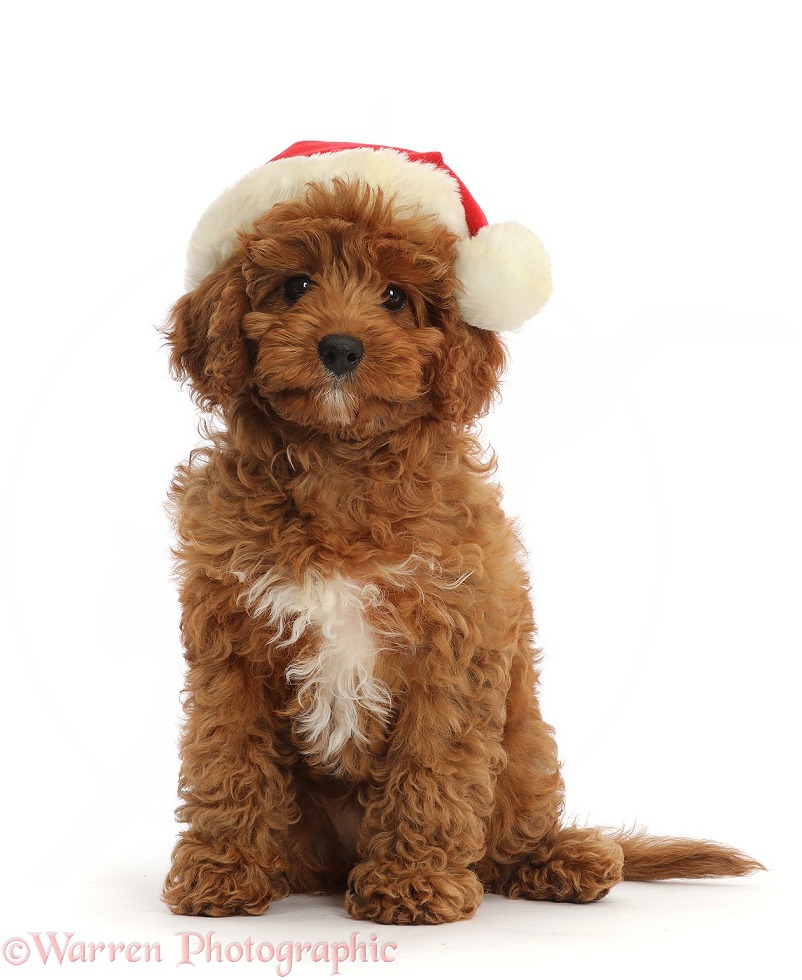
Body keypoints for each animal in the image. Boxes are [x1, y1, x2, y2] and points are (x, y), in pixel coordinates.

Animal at [162, 142, 764, 924]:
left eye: (395, 297)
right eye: (296, 285)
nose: (340, 348)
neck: (340, 463)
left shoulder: (452, 640)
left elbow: (432, 765)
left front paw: (411, 882)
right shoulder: (230, 642)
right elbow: (227, 754)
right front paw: (225, 869)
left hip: (526, 747)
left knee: (513, 831)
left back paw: (564, 860)